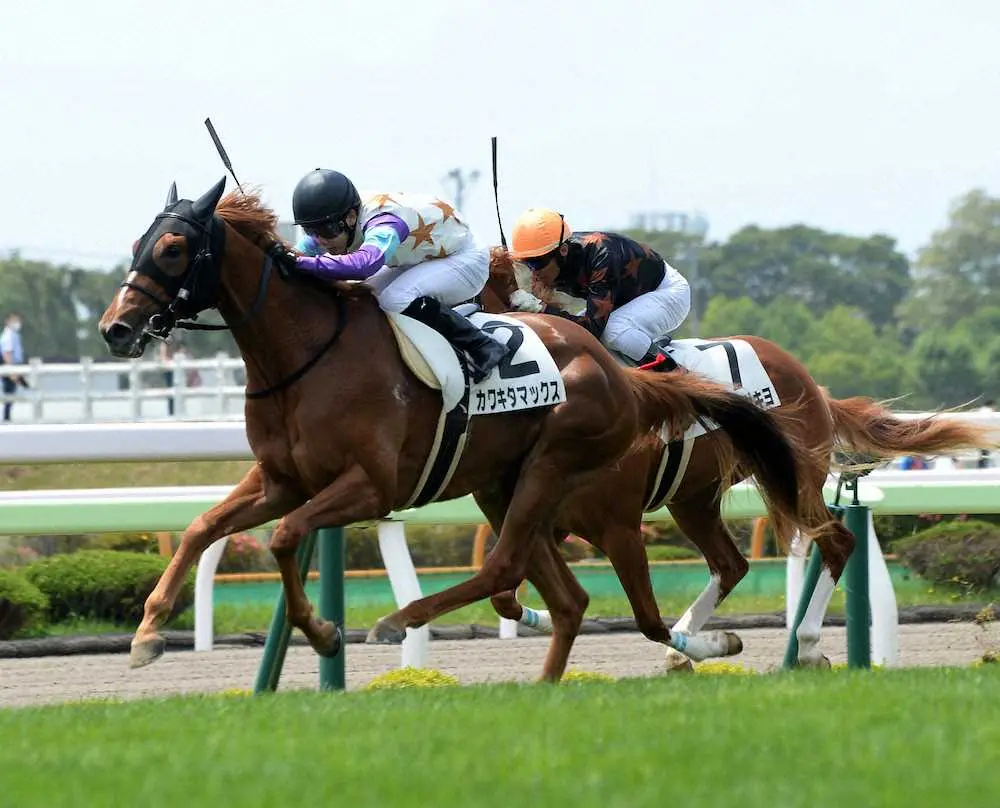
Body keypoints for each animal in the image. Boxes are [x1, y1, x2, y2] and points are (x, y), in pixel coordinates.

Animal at [97, 178, 812, 681]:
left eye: (173, 248)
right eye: (137, 245)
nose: (116, 328)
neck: (305, 355)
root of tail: (616, 368)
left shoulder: (371, 486)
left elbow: (284, 538)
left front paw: (325, 633)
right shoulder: (281, 481)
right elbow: (201, 528)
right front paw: (148, 634)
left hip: (552, 465)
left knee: (507, 565)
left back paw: (399, 621)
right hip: (505, 483)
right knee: (563, 593)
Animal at [481, 248, 994, 668]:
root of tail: (813, 386)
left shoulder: (616, 522)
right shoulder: (548, 517)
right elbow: (505, 591)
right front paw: (539, 615)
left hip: (793, 479)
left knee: (836, 542)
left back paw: (807, 646)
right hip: (693, 498)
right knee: (731, 565)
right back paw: (685, 650)